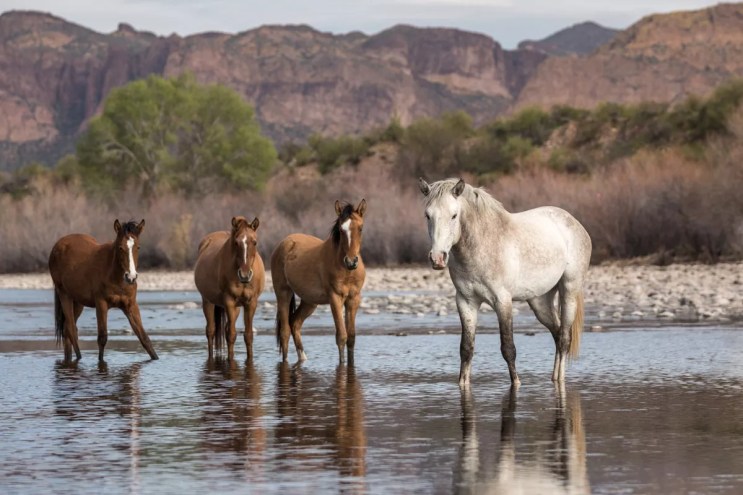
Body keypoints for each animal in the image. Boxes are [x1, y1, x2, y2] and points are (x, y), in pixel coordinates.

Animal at [48, 219, 158, 362]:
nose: (131, 277)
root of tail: (58, 246)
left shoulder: (130, 305)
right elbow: (102, 338)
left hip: (77, 302)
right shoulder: (101, 304)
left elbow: (144, 338)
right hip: (64, 294)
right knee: (71, 329)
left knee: (67, 331)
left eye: (138, 247)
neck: (115, 276)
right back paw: (79, 358)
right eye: (120, 247)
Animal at [194, 216, 265, 361]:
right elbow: (231, 335)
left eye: (254, 242)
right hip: (208, 302)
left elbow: (248, 335)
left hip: (236, 309)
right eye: (236, 243)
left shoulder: (251, 303)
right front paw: (230, 360)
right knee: (211, 331)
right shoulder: (229, 301)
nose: (245, 275)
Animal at [271, 199, 367, 363]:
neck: (346, 271)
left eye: (360, 228)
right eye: (341, 230)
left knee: (295, 323)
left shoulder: (353, 299)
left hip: (309, 302)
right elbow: (341, 336)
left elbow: (351, 338)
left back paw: (303, 358)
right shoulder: (335, 298)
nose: (351, 261)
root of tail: (284, 243)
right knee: (285, 331)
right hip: (283, 294)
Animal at [419, 178, 591, 387]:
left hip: (569, 290)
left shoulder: (502, 301)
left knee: (565, 337)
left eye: (454, 215)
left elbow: (508, 348)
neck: (482, 246)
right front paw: (462, 384)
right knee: (557, 334)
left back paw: (560, 379)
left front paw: (516, 383)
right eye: (428, 215)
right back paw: (554, 377)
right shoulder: (466, 302)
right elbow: (466, 348)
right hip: (540, 302)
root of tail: (574, 223)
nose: (437, 258)